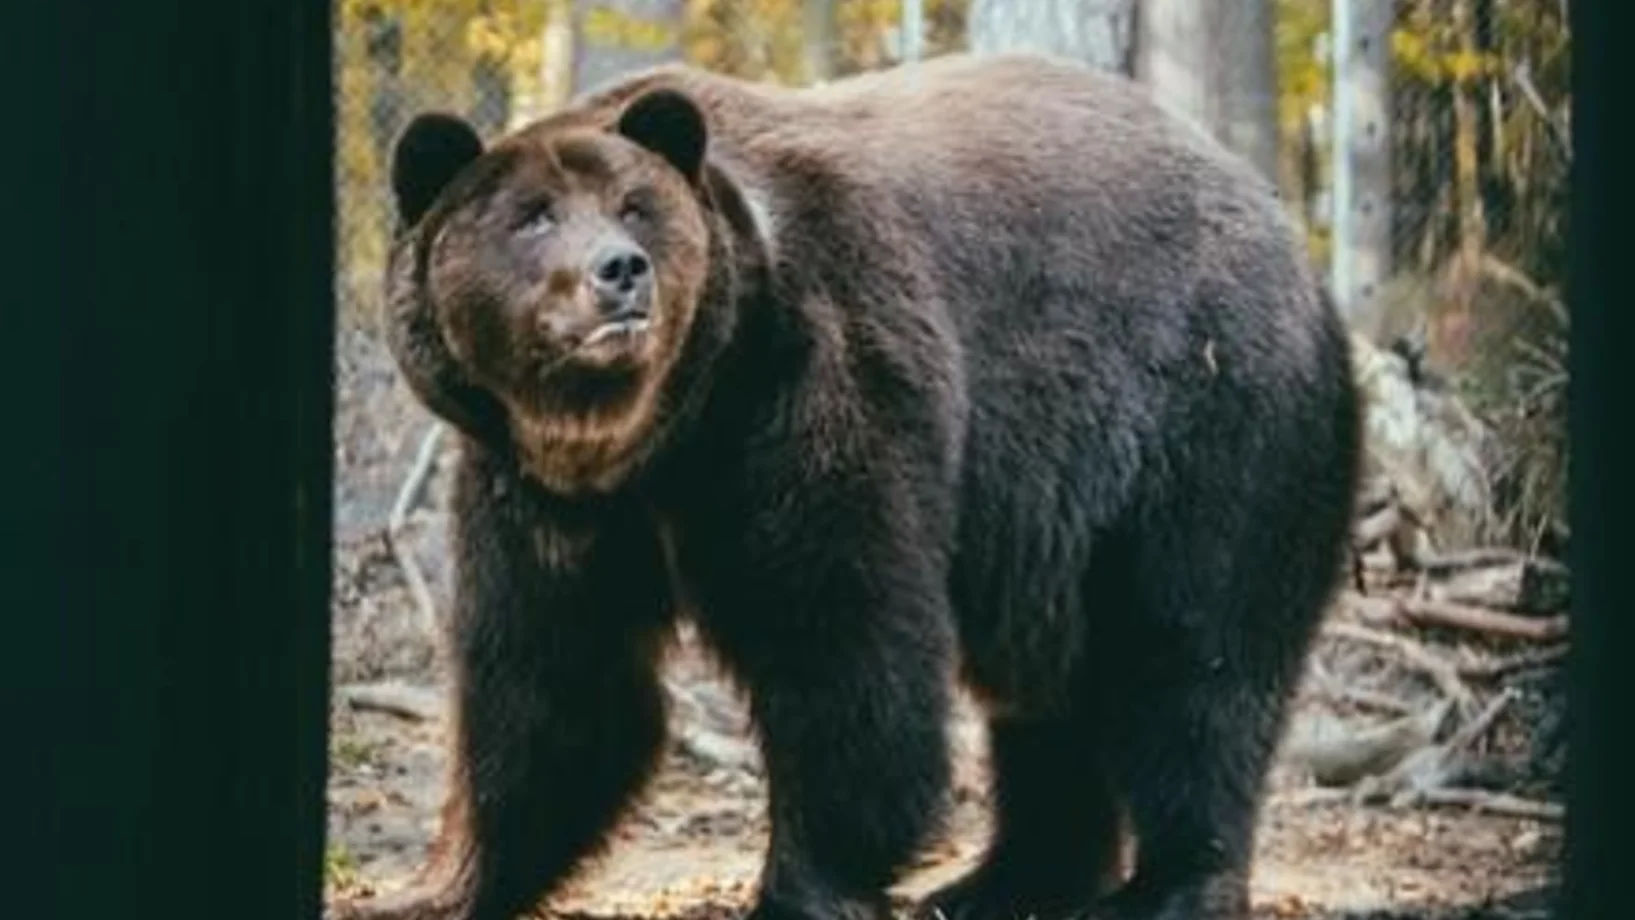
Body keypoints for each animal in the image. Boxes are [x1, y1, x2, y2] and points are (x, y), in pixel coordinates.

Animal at [332, 51, 1362, 920]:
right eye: (533, 214)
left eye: (633, 207)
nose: (619, 274)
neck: (655, 439)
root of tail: (1278, 221)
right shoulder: (543, 499)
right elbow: (549, 682)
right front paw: (441, 887)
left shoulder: (818, 382)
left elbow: (838, 641)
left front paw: (802, 885)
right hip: (1060, 520)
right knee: (1049, 691)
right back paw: (1001, 880)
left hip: (1207, 419)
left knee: (1193, 654)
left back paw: (1165, 884)